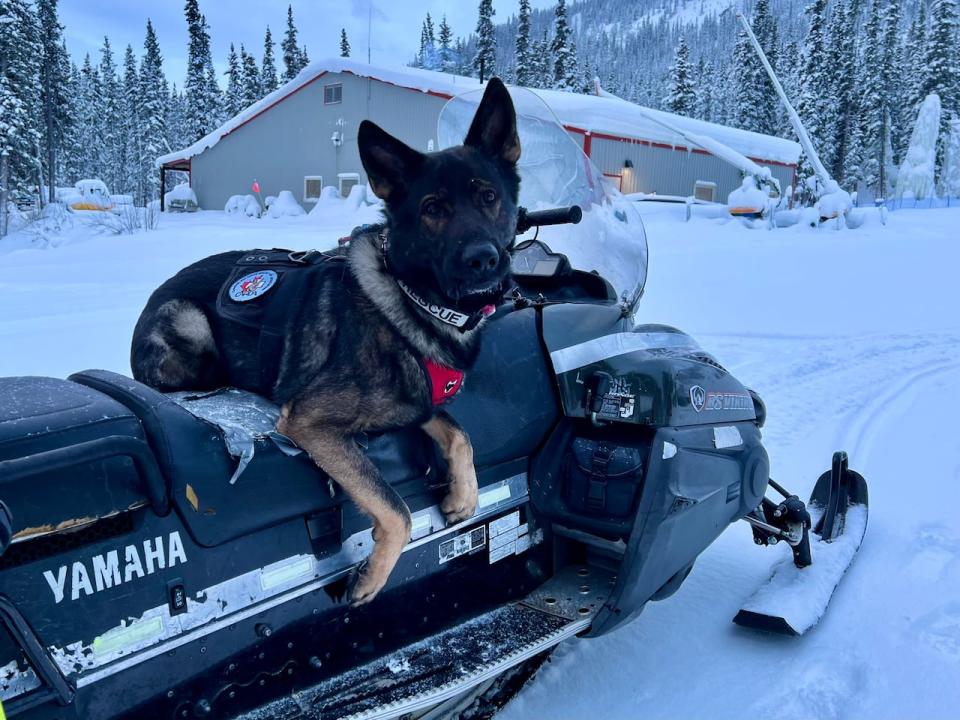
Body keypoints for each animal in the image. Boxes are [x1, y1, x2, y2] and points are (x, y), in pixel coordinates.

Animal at [131, 79, 520, 604]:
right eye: (432, 209)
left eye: (488, 196)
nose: (484, 261)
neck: (413, 299)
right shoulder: (310, 422)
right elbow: (395, 508)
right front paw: (371, 577)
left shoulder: (417, 402)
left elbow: (459, 433)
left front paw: (465, 494)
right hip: (190, 321)